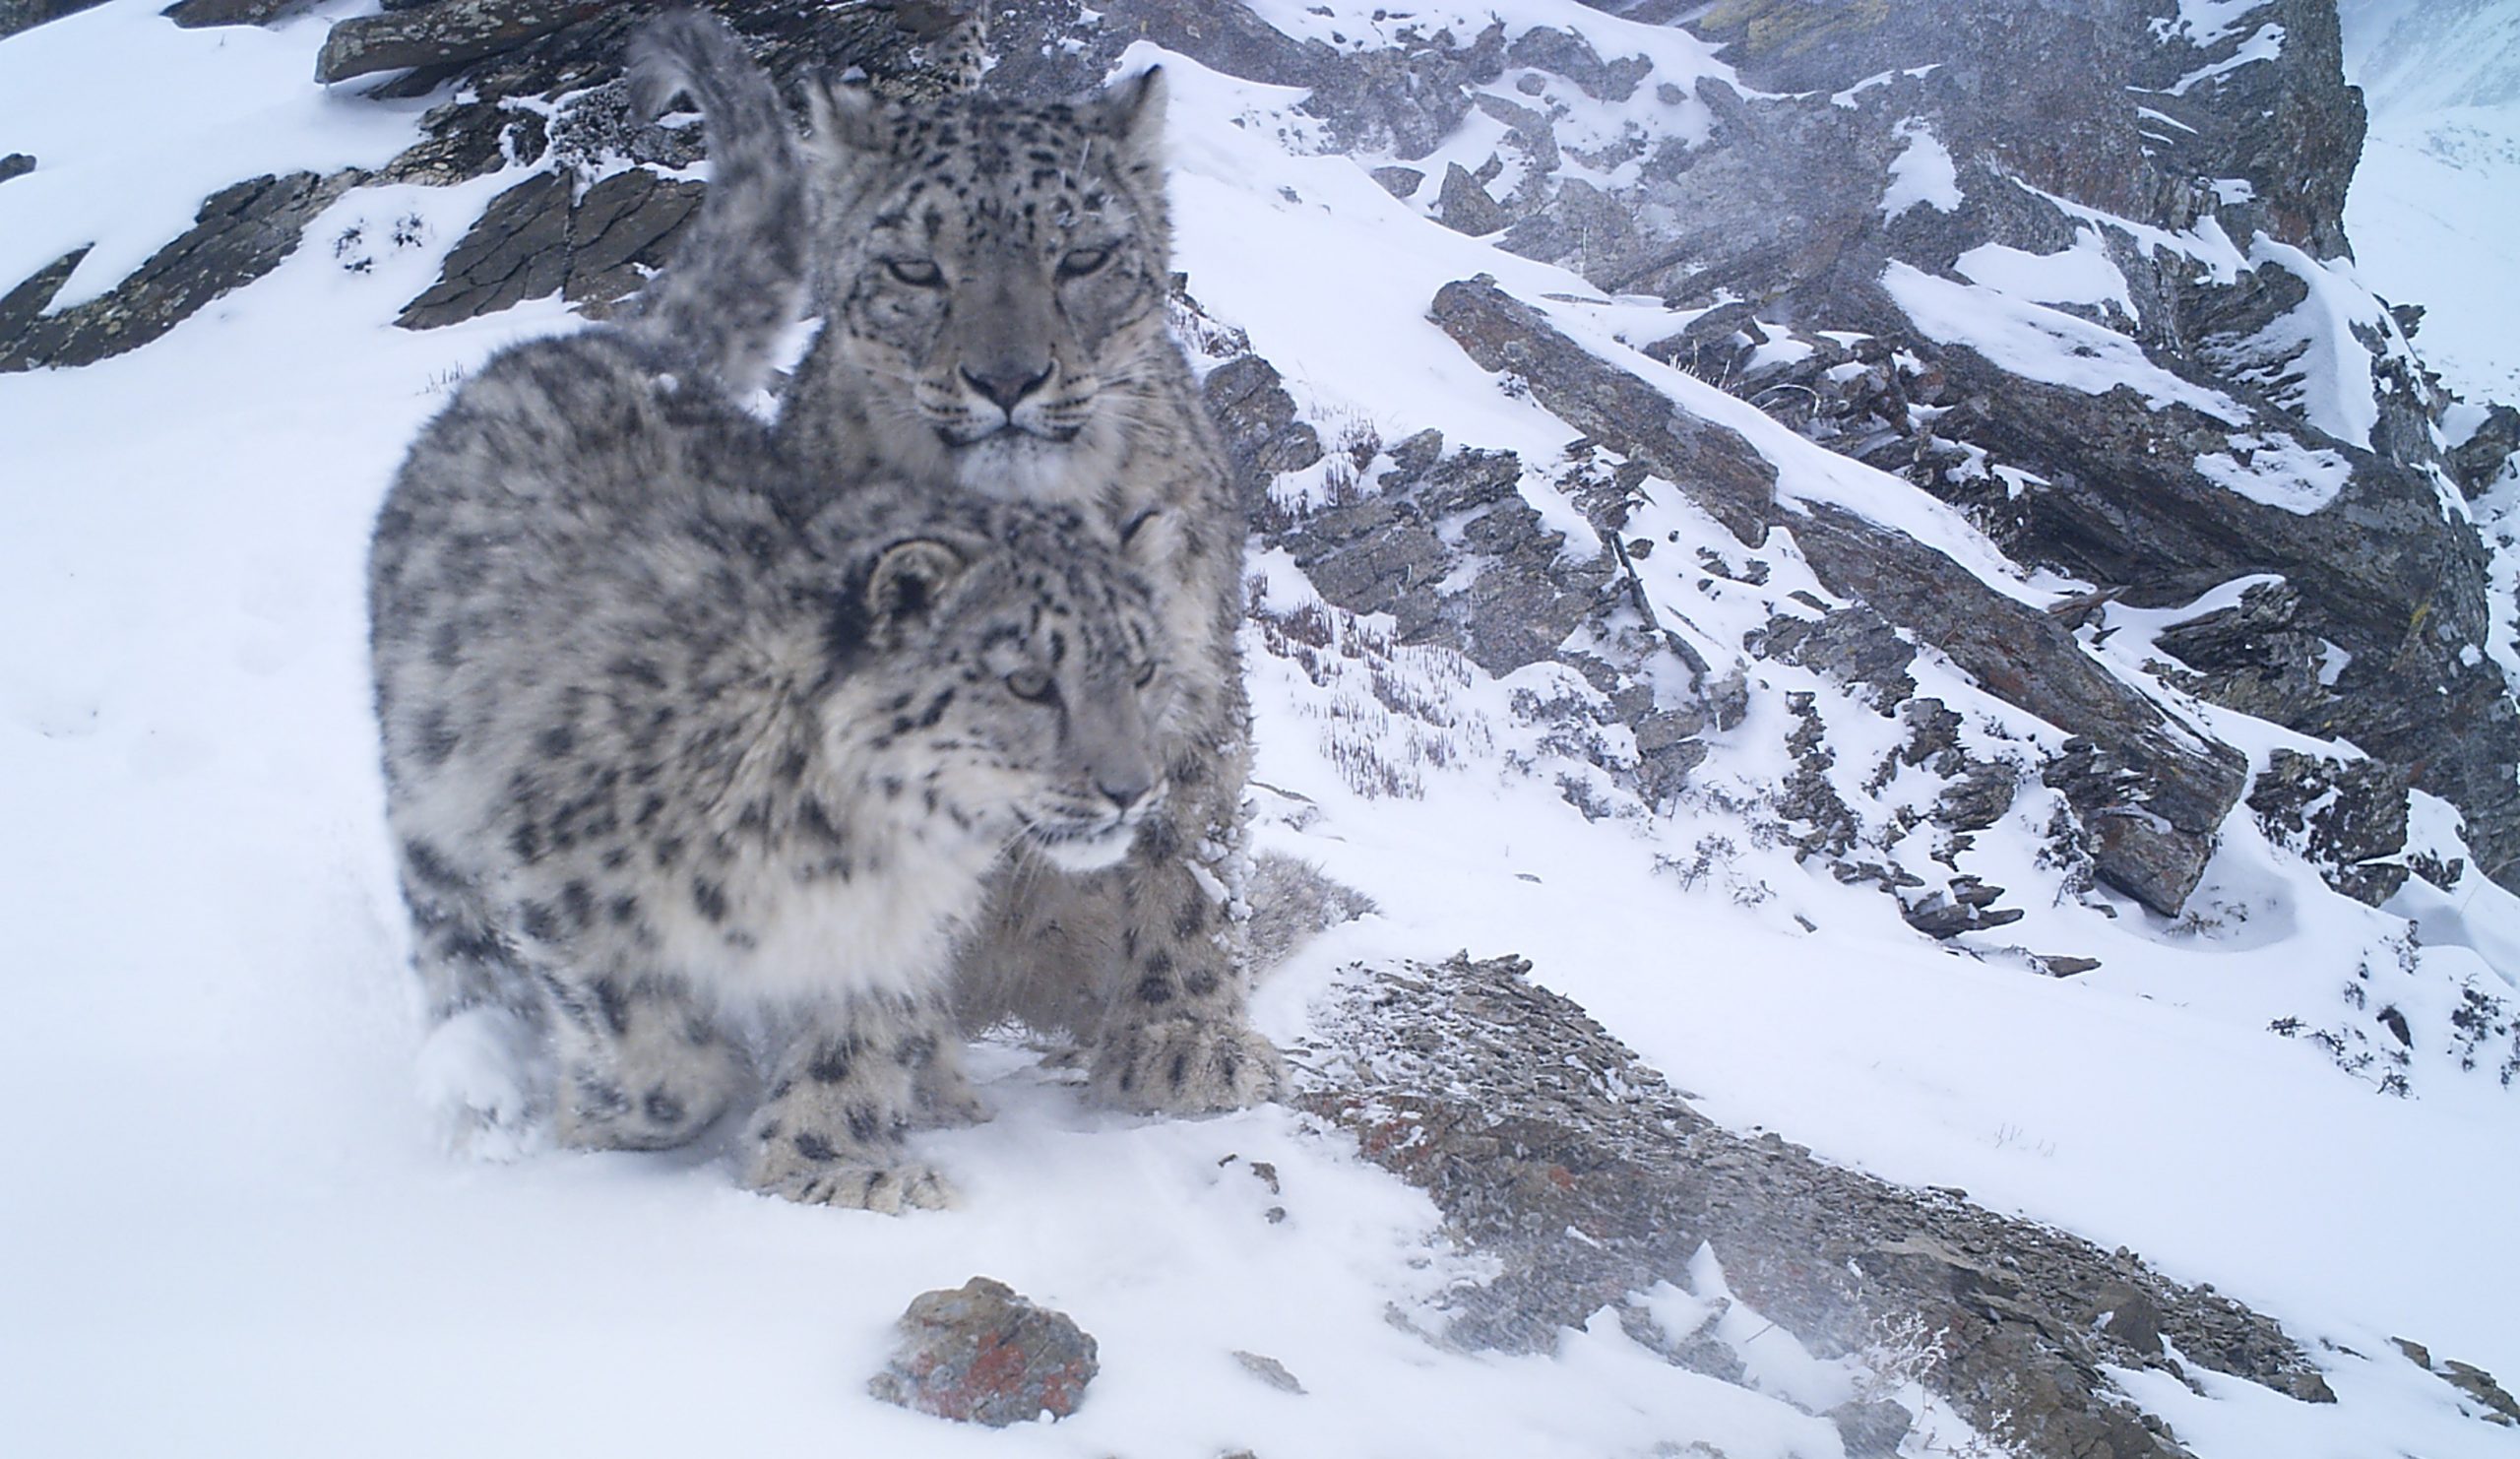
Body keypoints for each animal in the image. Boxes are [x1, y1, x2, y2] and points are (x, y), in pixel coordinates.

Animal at [367, 11, 1184, 1209]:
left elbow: (854, 1044)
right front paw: (619, 1108)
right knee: (450, 937)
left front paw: (838, 1170)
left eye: (1145, 668)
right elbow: (653, 1052)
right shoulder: (560, 867)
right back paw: (483, 1078)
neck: (874, 847)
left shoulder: (885, 937)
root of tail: (629, 342)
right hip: (431, 782)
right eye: (1028, 679)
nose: (1133, 789)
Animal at [675, 17, 1280, 1113]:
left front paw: (1185, 1040)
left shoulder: (1187, 674)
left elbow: (1192, 856)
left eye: (1082, 255)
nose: (1006, 379)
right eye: (916, 270)